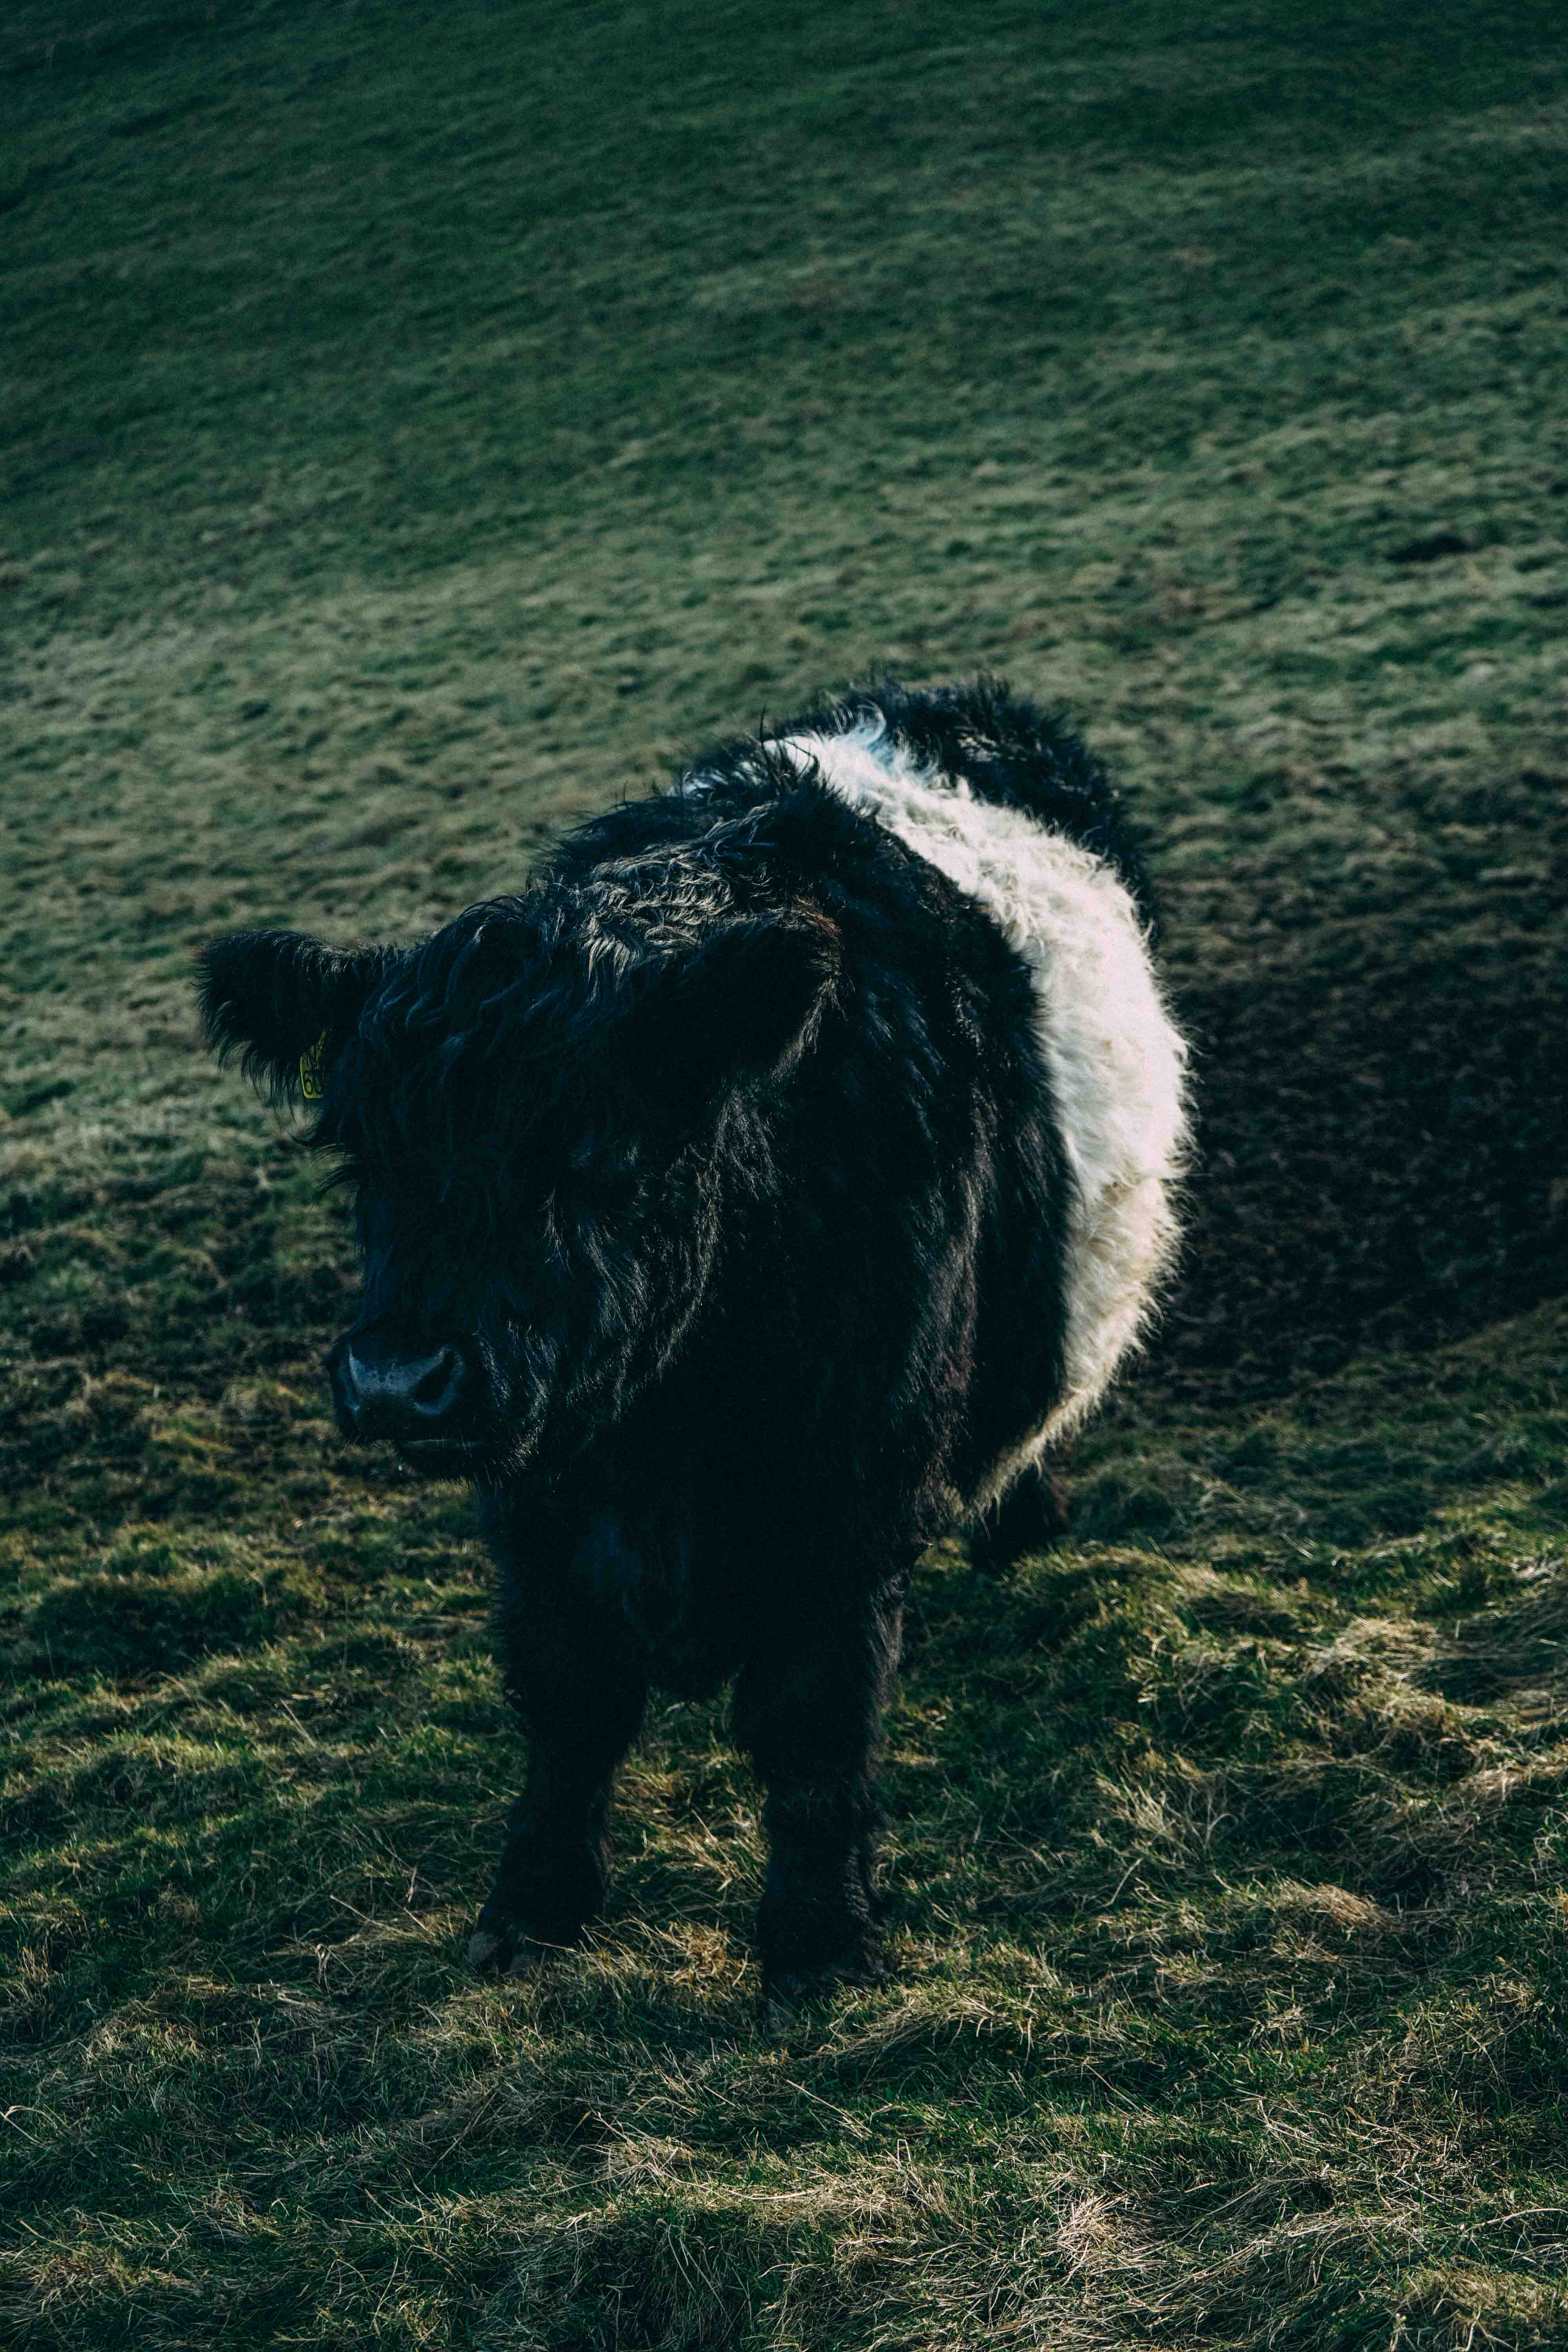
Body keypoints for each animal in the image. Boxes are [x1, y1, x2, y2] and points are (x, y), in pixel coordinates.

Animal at [197, 679, 1189, 2010]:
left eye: (597, 1150)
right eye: (363, 1156)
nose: (400, 1383)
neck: (663, 1446)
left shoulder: (847, 1505)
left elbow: (814, 1727)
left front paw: (817, 1944)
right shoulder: (537, 1508)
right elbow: (568, 1702)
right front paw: (533, 1906)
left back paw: (1018, 1528)